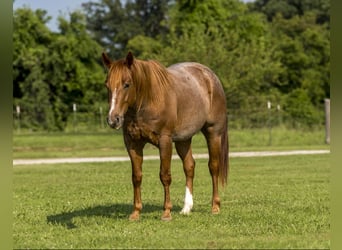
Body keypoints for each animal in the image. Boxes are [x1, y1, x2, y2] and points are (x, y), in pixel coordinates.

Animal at [102, 51, 230, 221]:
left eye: (127, 84)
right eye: (107, 85)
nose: (113, 119)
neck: (148, 100)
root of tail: (210, 77)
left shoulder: (165, 141)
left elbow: (165, 175)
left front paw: (166, 212)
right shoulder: (132, 143)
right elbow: (136, 176)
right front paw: (136, 212)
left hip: (213, 133)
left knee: (213, 167)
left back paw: (215, 206)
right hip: (184, 139)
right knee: (189, 166)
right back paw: (186, 208)